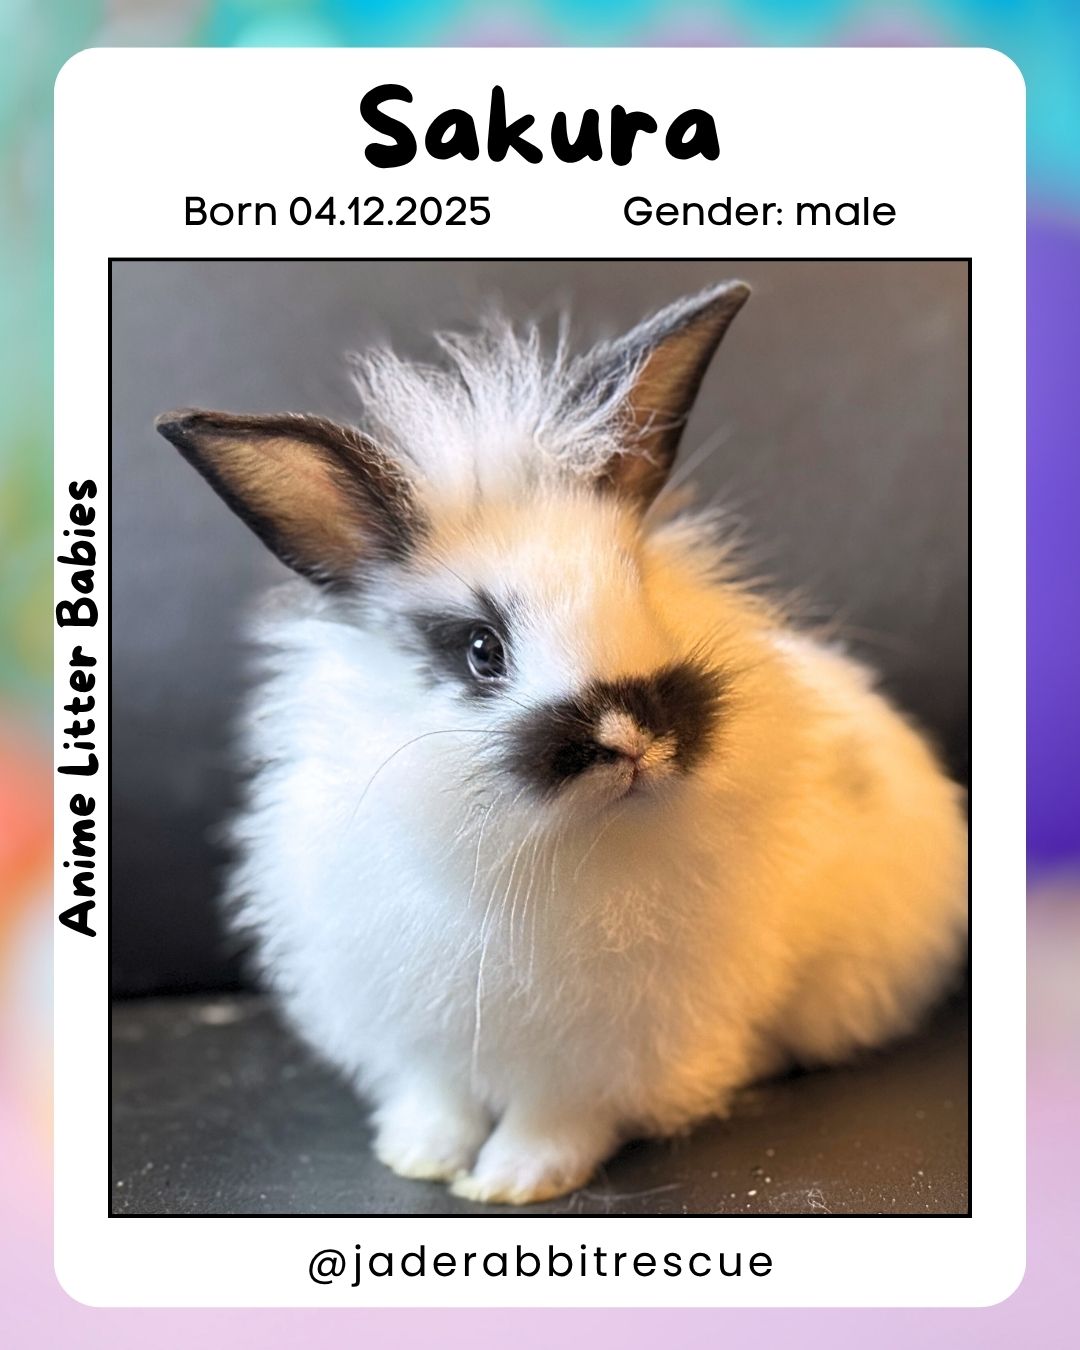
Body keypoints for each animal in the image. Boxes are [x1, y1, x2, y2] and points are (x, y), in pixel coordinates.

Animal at [155, 279, 968, 1207]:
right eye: (481, 649)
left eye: (640, 589)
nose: (632, 737)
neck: (560, 848)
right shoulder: (426, 1031)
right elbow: (438, 1098)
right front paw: (422, 1157)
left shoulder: (593, 1054)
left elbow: (558, 1118)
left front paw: (514, 1181)